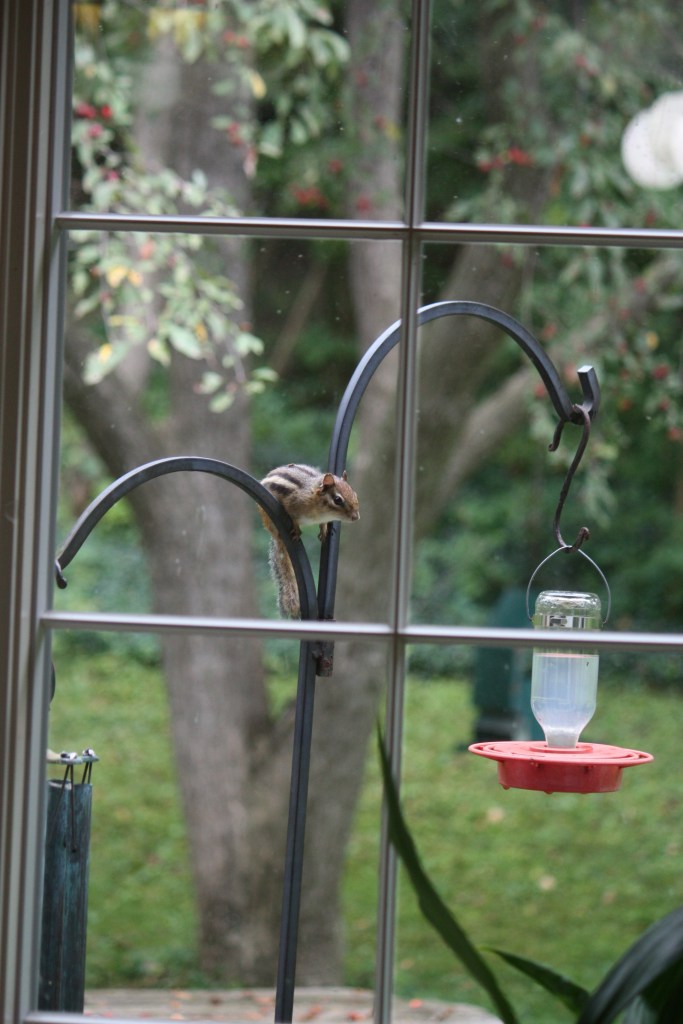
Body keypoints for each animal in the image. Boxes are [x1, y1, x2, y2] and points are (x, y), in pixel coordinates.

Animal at [259, 463, 360, 618]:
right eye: (338, 500)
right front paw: (296, 529)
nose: (356, 517)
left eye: (355, 494)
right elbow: (293, 519)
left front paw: (324, 530)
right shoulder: (292, 504)